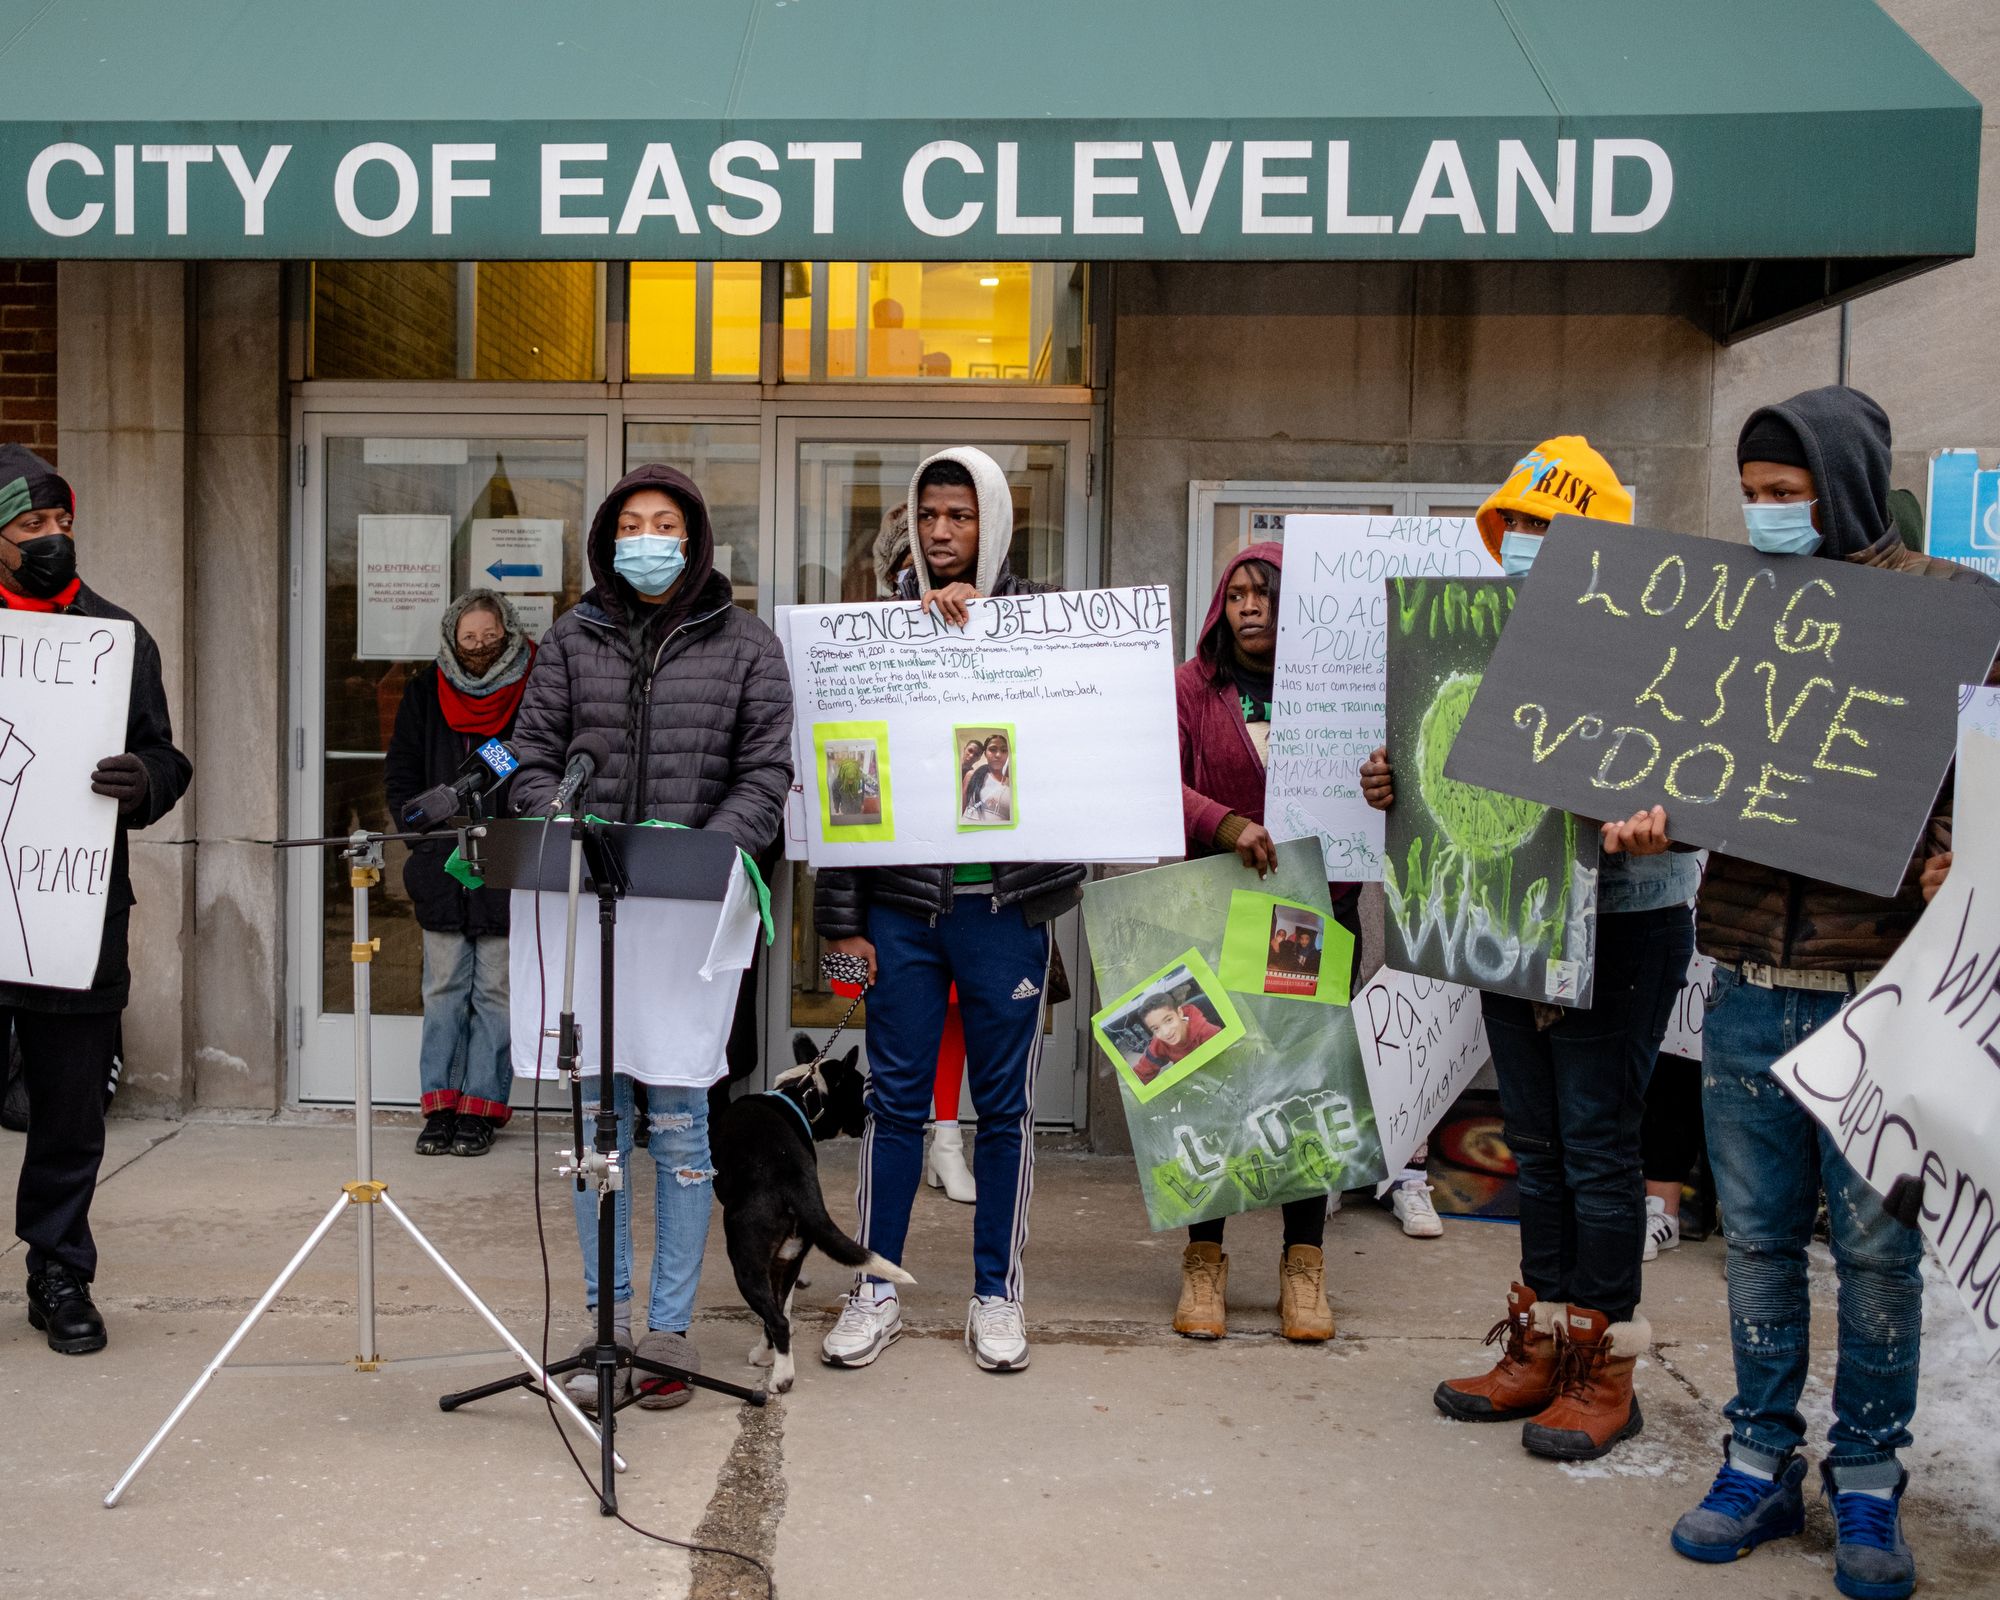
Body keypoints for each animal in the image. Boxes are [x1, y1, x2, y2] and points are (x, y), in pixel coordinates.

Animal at [712, 1040, 916, 1384]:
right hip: (784, 1255)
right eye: (861, 1094)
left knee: (776, 1320)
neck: (801, 1094)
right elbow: (788, 1302)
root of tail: (792, 1180)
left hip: (745, 1261)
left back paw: (780, 1376)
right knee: (777, 1313)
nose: (870, 1115)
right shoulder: (789, 1258)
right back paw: (769, 1357)